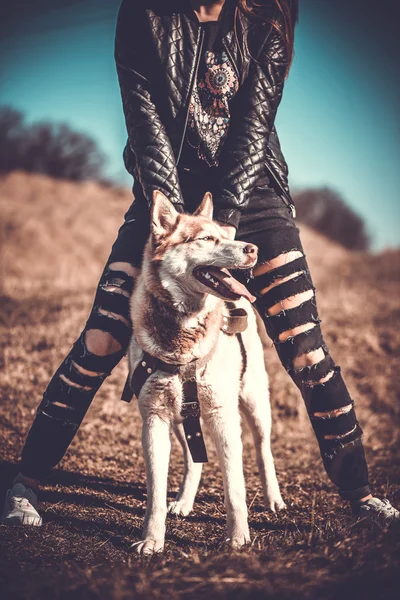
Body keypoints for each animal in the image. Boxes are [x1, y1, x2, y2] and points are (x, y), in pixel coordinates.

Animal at [128, 190, 284, 556]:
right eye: (207, 239)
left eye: (226, 236)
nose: (253, 249)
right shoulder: (154, 418)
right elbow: (155, 493)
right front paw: (152, 539)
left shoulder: (223, 416)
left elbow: (235, 487)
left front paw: (238, 536)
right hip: (181, 421)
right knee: (193, 459)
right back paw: (184, 501)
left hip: (255, 406)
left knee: (264, 451)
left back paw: (273, 498)